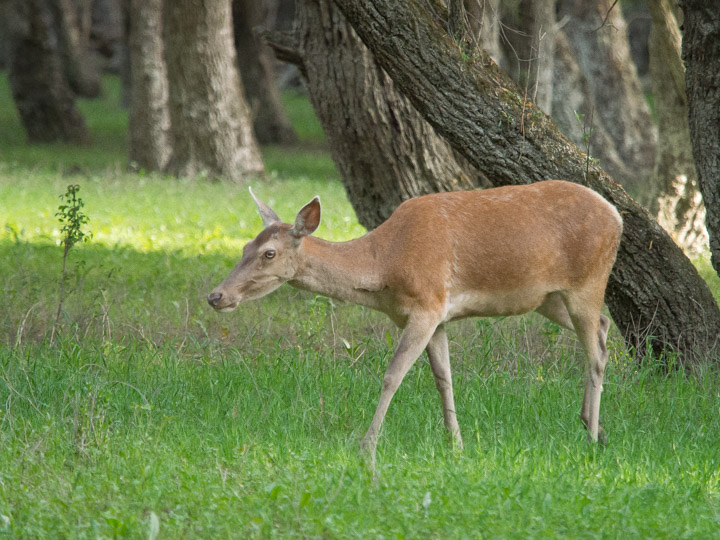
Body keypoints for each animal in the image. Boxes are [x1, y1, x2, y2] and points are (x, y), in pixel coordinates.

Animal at [208, 180, 624, 464]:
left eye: (269, 253)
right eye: (244, 247)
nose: (216, 296)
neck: (384, 267)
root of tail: (616, 214)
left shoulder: (427, 304)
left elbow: (393, 374)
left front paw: (367, 446)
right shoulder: (437, 316)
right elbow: (443, 378)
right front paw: (456, 444)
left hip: (588, 281)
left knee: (596, 352)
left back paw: (591, 436)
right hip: (548, 298)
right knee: (604, 328)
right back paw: (594, 425)